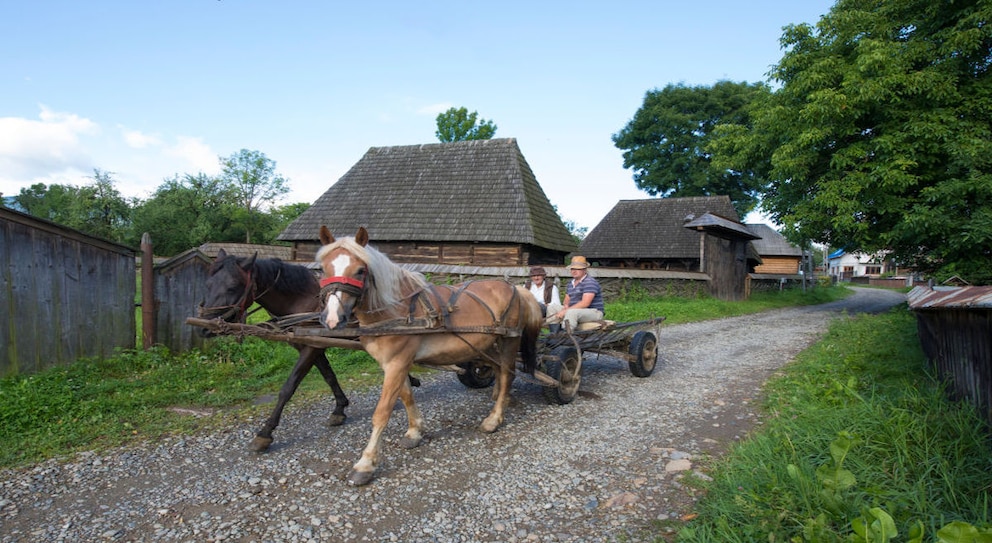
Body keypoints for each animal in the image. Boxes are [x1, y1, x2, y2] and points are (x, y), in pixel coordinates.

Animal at [316, 226, 544, 488]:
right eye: (323, 269)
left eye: (360, 270)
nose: (333, 319)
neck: (398, 310)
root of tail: (517, 289)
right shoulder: (394, 364)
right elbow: (406, 397)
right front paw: (415, 432)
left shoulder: (396, 363)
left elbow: (382, 412)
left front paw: (365, 464)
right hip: (487, 344)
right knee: (498, 371)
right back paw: (500, 398)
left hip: (509, 341)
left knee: (507, 374)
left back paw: (494, 419)